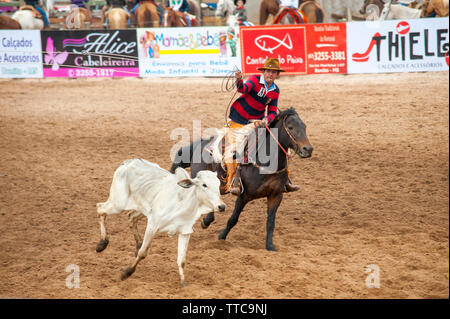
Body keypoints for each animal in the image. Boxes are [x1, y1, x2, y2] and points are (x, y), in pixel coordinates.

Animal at [97, 160, 227, 288]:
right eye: (204, 185)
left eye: (218, 185)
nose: (221, 206)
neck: (184, 202)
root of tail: (127, 163)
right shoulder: (152, 225)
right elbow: (143, 253)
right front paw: (126, 272)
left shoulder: (185, 232)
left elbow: (182, 260)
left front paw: (183, 283)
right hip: (118, 203)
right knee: (100, 209)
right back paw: (102, 243)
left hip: (141, 210)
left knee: (131, 217)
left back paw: (137, 243)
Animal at [169, 109, 312, 251]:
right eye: (291, 127)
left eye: (305, 126)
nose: (308, 149)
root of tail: (202, 144)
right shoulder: (244, 195)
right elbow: (233, 219)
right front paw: (221, 236)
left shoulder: (276, 195)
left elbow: (271, 222)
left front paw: (270, 246)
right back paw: (204, 220)